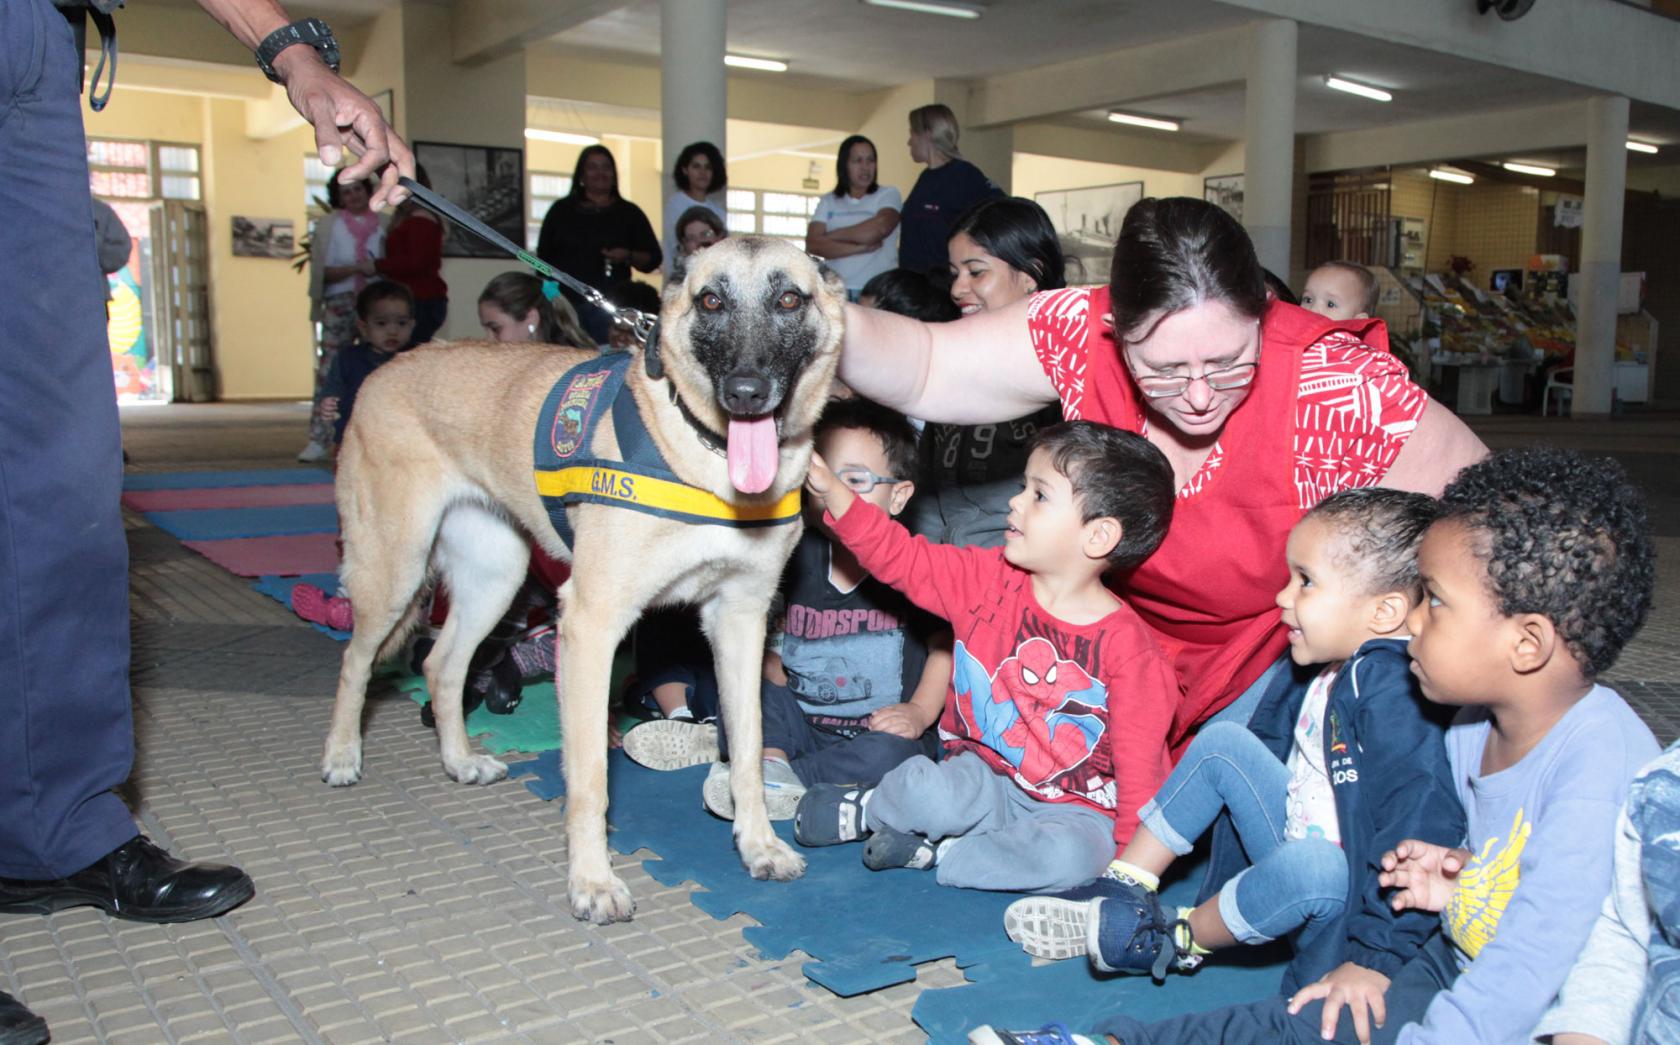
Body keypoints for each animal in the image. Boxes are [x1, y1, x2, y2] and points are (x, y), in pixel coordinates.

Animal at [317, 240, 840, 927]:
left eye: (788, 299)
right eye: (710, 301)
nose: (746, 392)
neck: (701, 457)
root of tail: (387, 367)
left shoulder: (741, 621)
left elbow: (748, 750)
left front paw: (757, 845)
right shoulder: (592, 626)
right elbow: (590, 774)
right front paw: (592, 881)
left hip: (495, 577)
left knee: (441, 664)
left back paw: (458, 759)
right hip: (394, 568)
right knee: (354, 661)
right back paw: (341, 755)